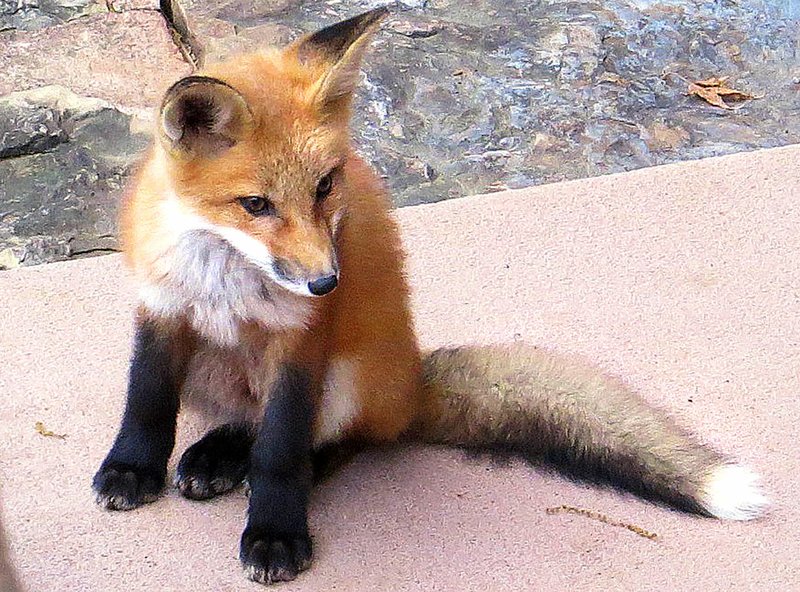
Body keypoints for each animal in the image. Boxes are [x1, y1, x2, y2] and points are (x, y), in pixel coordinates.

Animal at [94, 6, 768, 584]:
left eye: (326, 185)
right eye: (255, 204)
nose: (326, 282)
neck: (225, 270)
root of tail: (413, 383)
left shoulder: (302, 340)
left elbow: (281, 448)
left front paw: (276, 533)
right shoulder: (162, 309)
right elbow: (146, 401)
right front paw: (132, 469)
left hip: (347, 378)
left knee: (332, 441)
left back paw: (253, 466)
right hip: (215, 368)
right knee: (246, 420)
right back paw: (217, 455)